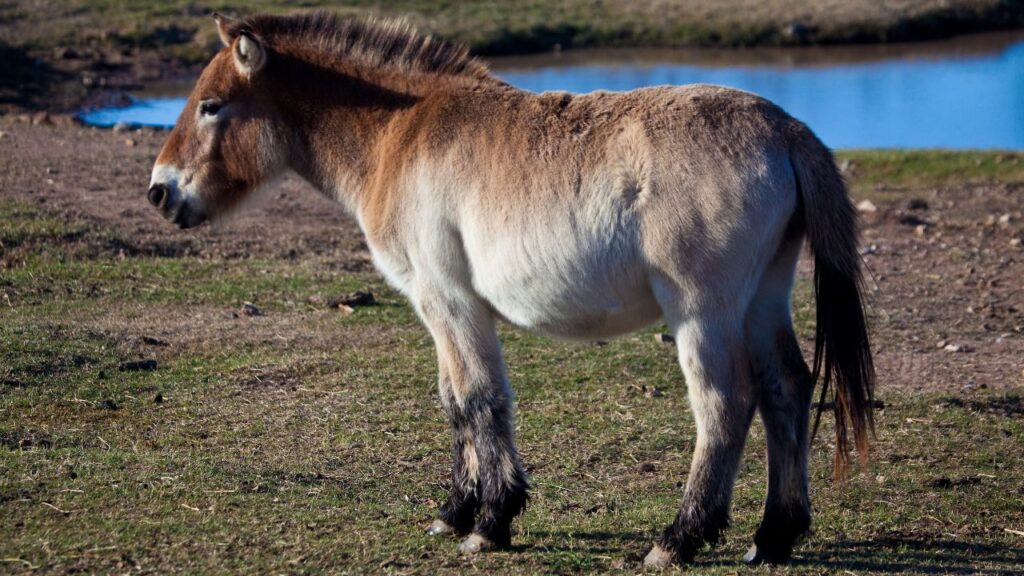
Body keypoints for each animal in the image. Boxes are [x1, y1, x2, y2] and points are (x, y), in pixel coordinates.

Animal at [147, 12, 875, 567]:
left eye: (211, 106)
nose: (159, 192)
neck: (399, 134)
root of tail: (787, 130)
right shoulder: (439, 306)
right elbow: (454, 401)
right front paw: (455, 511)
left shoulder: (448, 299)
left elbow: (477, 399)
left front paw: (490, 524)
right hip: (762, 298)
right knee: (786, 389)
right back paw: (773, 538)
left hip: (703, 312)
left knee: (725, 406)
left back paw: (678, 540)